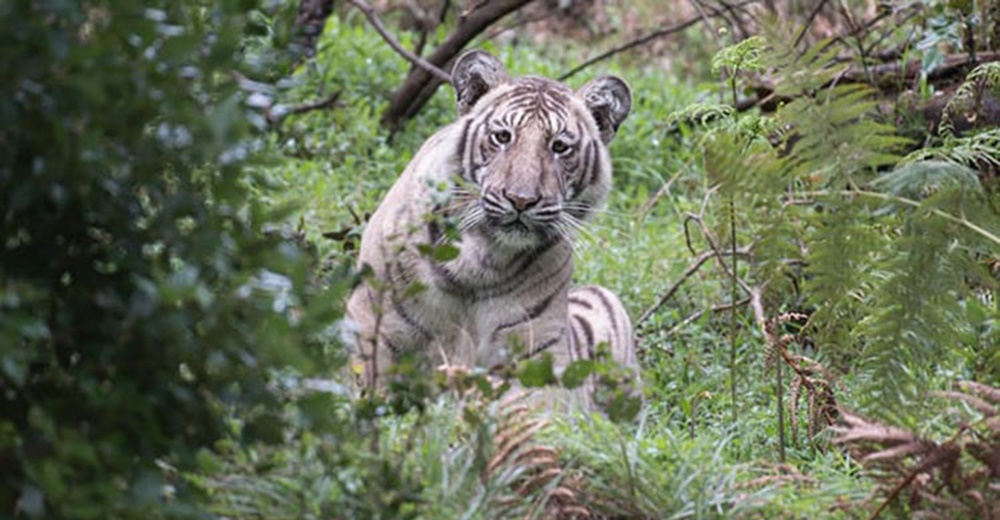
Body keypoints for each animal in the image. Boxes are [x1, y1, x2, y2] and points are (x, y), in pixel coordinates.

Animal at [344, 49, 640, 410]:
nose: (521, 199)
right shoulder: (373, 321)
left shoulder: (535, 356)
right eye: (502, 137)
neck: (480, 257)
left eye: (559, 147)